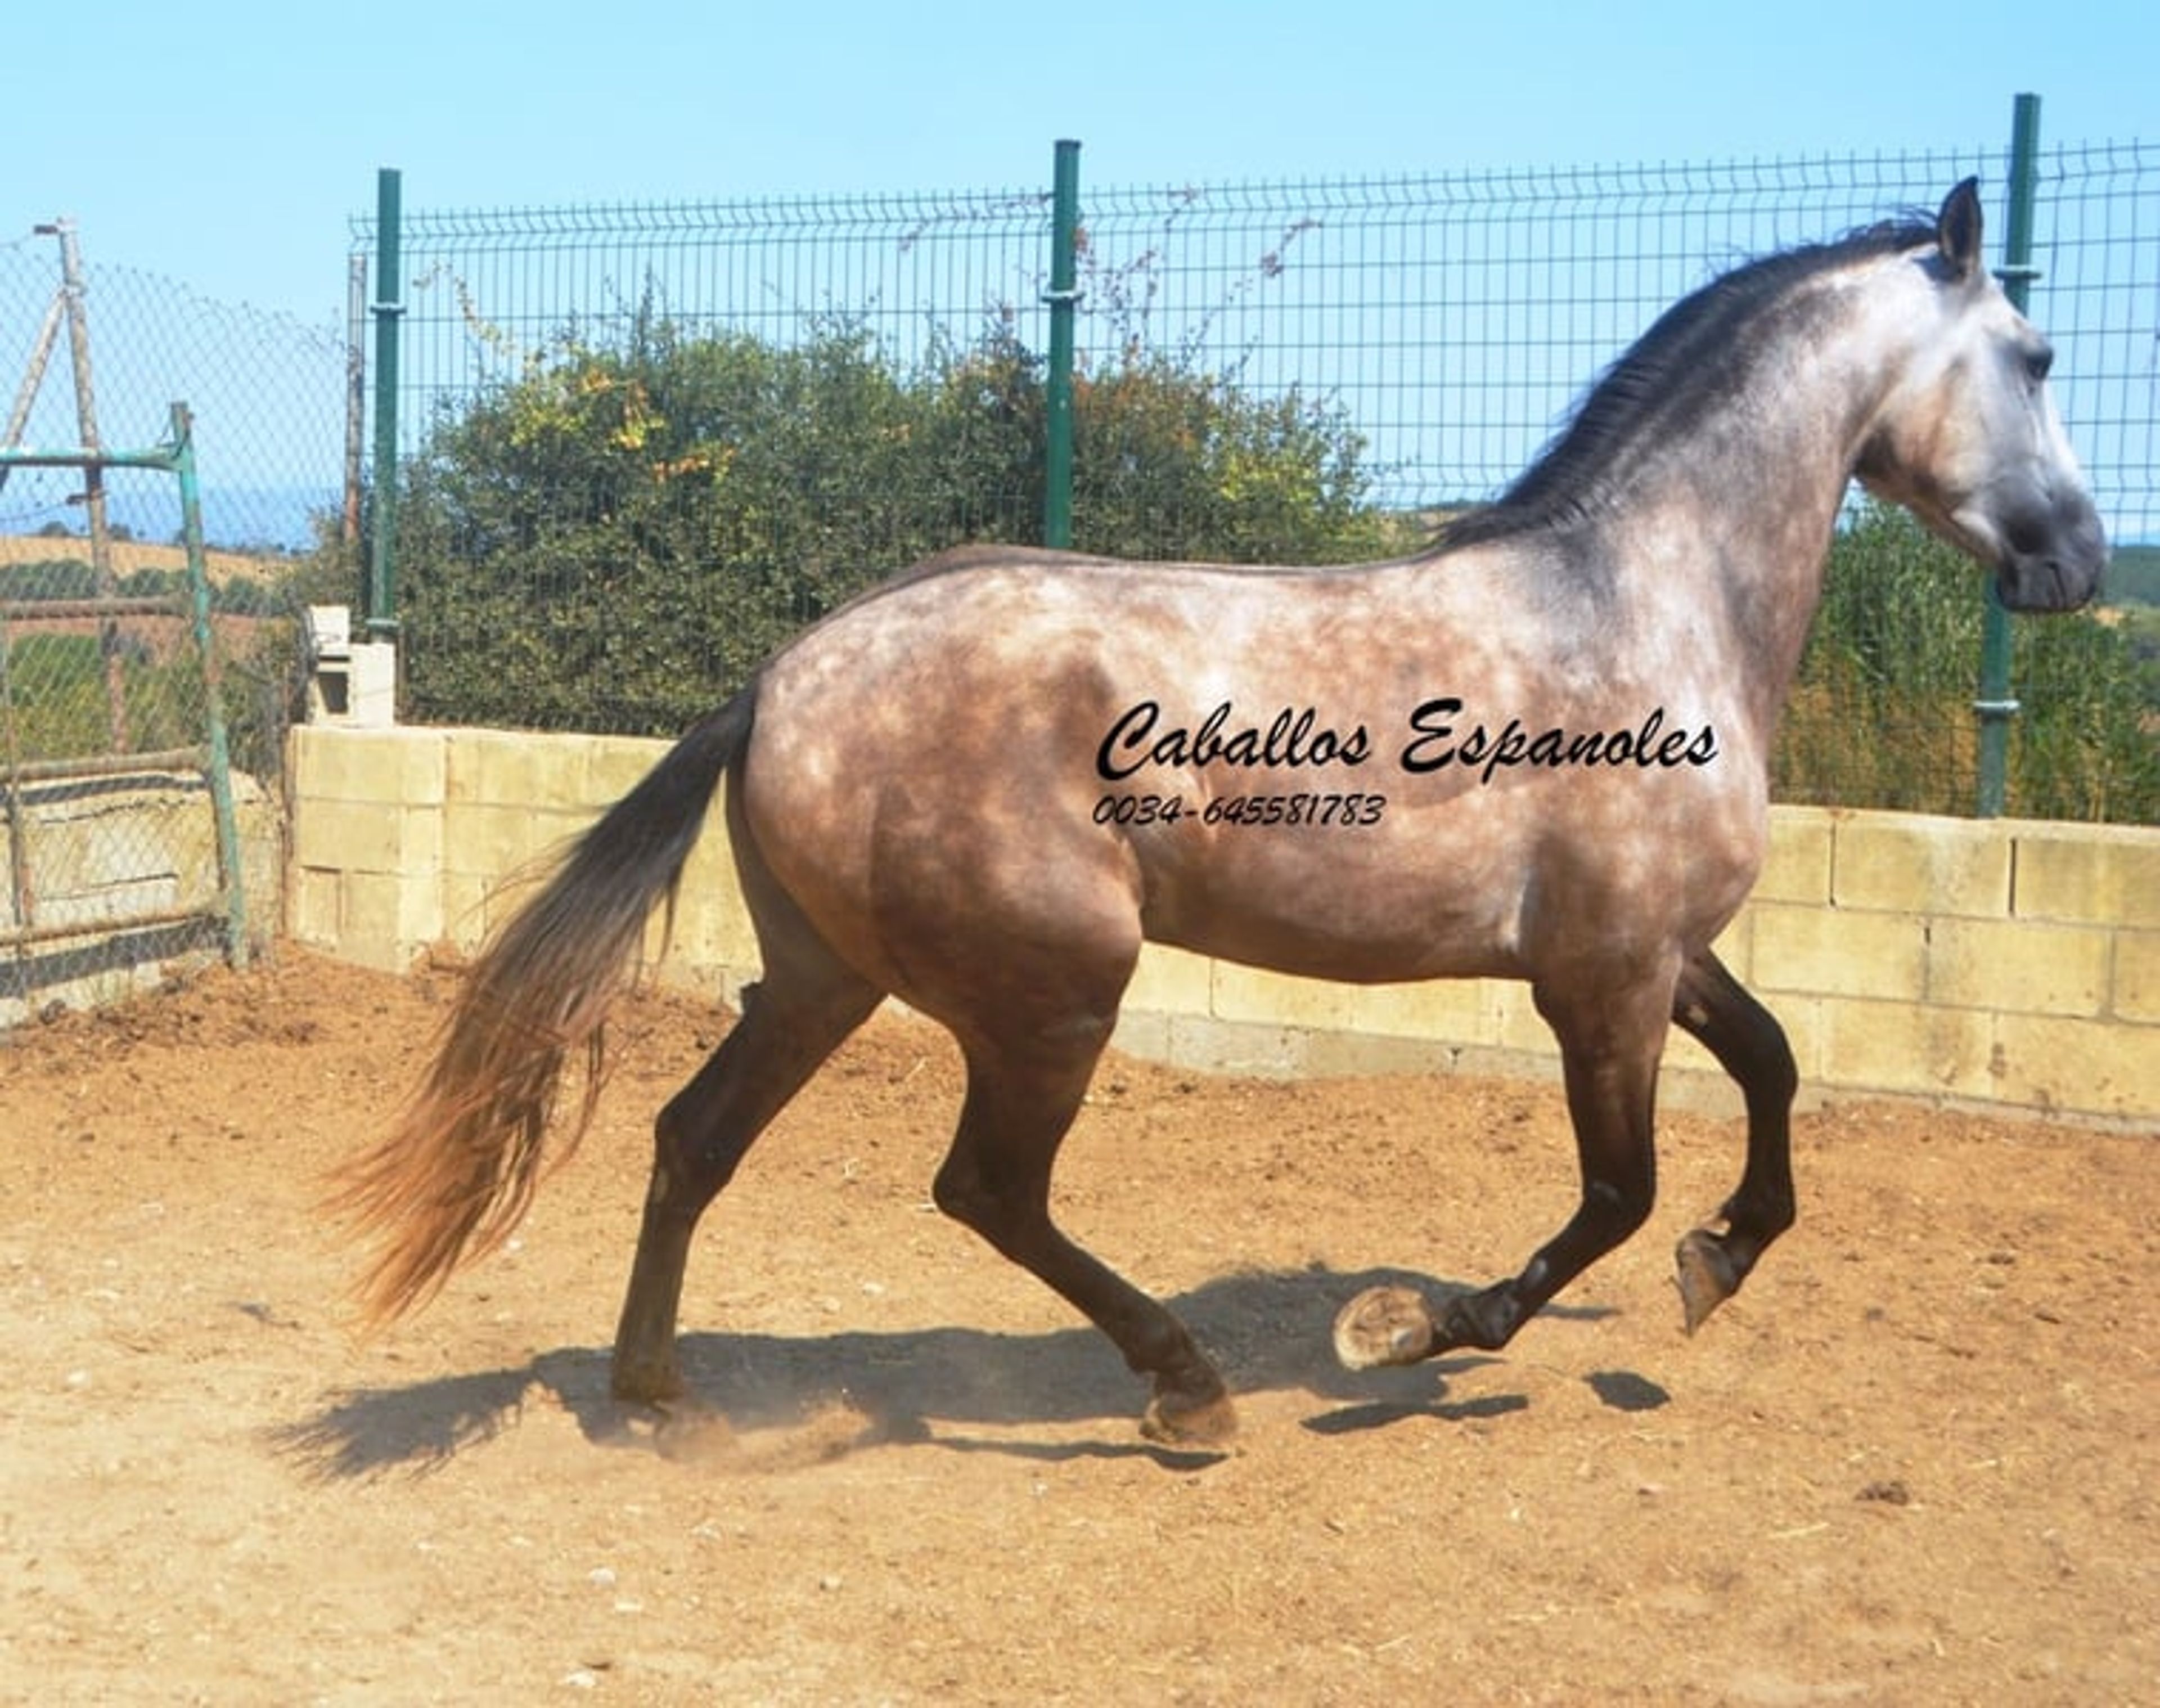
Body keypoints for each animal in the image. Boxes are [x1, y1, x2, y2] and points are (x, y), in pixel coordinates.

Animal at [332, 180, 2105, 1446]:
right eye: (2036, 359)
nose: (2081, 564)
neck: (1641, 600)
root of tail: (776, 680)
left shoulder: (1657, 952)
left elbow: (1776, 1069)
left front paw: (1719, 1265)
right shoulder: (1598, 978)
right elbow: (1619, 1188)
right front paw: (1409, 1324)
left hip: (829, 978)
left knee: (695, 1137)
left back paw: (663, 1394)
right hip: (1052, 989)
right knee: (985, 1190)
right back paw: (1186, 1388)